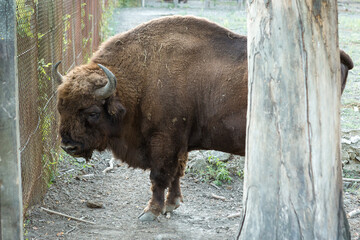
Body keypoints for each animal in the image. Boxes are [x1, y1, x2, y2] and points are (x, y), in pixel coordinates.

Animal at [53, 15, 354, 221]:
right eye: (60, 107)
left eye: (92, 112)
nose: (68, 145)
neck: (138, 81)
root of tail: (340, 55)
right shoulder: (180, 144)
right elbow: (176, 173)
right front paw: (172, 204)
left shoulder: (164, 140)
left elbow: (159, 176)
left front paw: (150, 212)